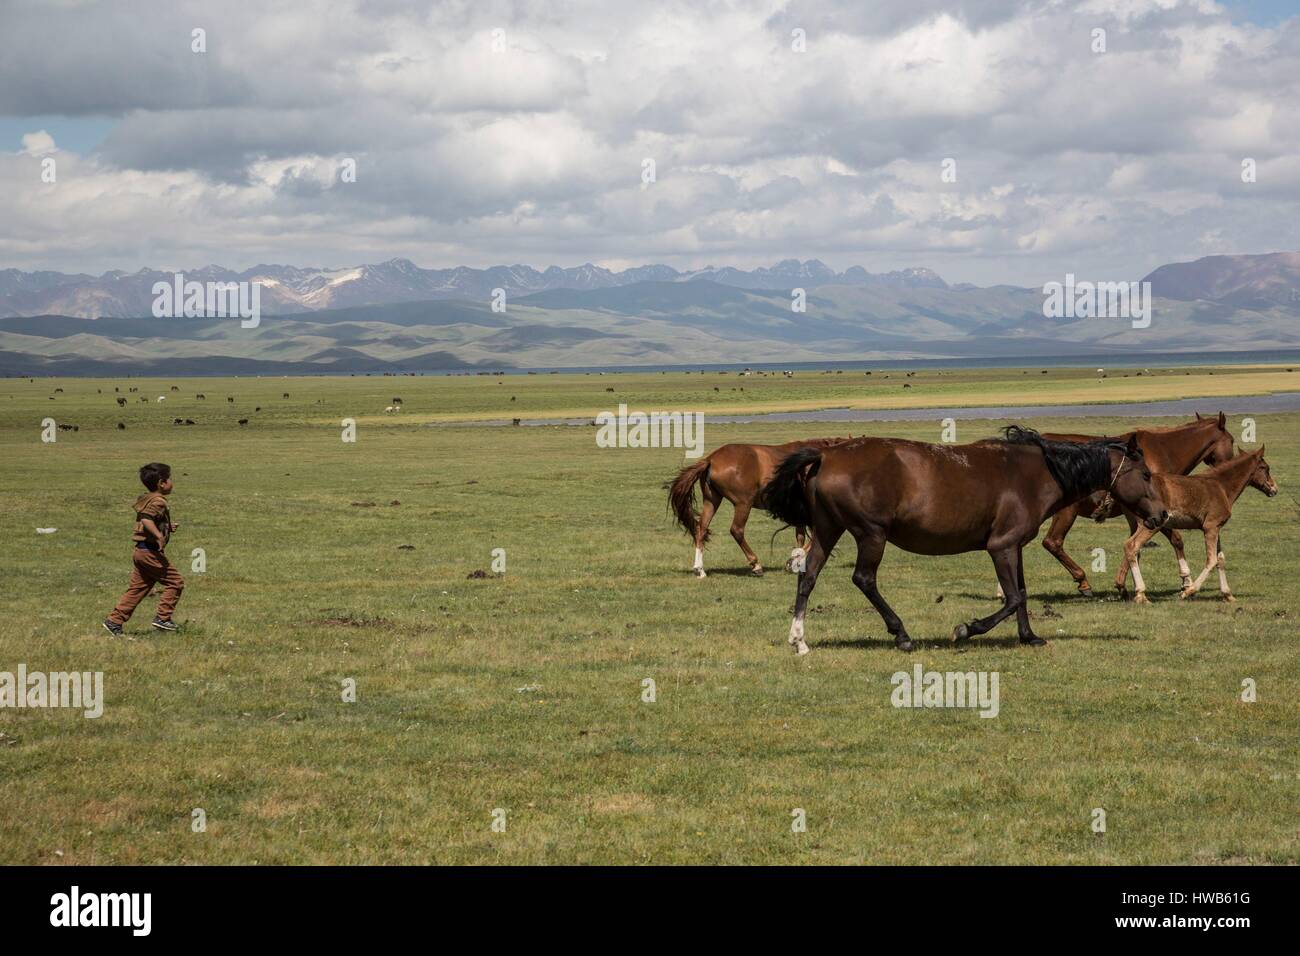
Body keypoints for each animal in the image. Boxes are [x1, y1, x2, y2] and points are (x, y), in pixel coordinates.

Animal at [670, 439, 852, 574]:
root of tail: (711, 459)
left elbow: (801, 536)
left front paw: (796, 559)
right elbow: (813, 535)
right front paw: (794, 560)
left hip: (712, 500)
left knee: (701, 529)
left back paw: (699, 569)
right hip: (743, 504)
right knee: (736, 530)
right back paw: (755, 564)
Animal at [759, 429, 1170, 655]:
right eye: (1146, 474)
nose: (1162, 515)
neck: (1037, 473)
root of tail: (825, 455)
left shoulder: (1014, 547)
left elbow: (1022, 594)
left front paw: (1030, 637)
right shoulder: (1001, 547)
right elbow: (1013, 597)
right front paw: (966, 629)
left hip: (828, 530)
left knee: (808, 576)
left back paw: (799, 641)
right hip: (870, 535)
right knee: (863, 579)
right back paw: (901, 635)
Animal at [1029, 413, 1232, 598]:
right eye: (1231, 440)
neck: (1162, 452)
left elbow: (1138, 545)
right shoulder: (1152, 515)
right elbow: (1171, 540)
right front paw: (1185, 581)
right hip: (1066, 512)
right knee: (1053, 542)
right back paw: (1083, 581)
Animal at [1112, 450, 1274, 600]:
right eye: (1265, 468)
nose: (1274, 488)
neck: (1221, 486)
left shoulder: (1216, 528)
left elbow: (1220, 560)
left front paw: (1228, 595)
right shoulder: (1210, 527)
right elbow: (1212, 560)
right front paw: (1188, 591)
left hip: (1138, 524)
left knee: (1132, 549)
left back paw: (1127, 589)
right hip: (1151, 524)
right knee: (1132, 546)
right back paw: (1140, 593)